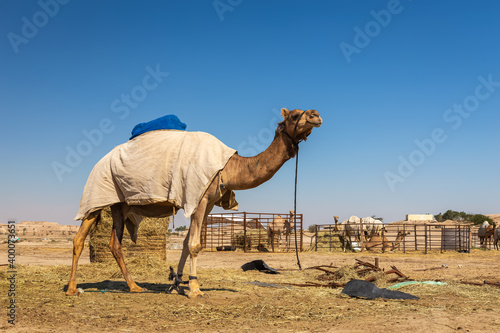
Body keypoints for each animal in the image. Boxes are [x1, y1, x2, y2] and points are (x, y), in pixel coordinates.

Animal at [66, 107, 322, 296]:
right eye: (294, 115)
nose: (316, 114)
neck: (228, 167)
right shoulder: (198, 197)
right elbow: (195, 245)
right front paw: (196, 289)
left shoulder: (206, 202)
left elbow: (186, 244)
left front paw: (177, 284)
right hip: (99, 194)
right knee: (80, 237)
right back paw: (72, 289)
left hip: (120, 205)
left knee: (114, 243)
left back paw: (133, 286)